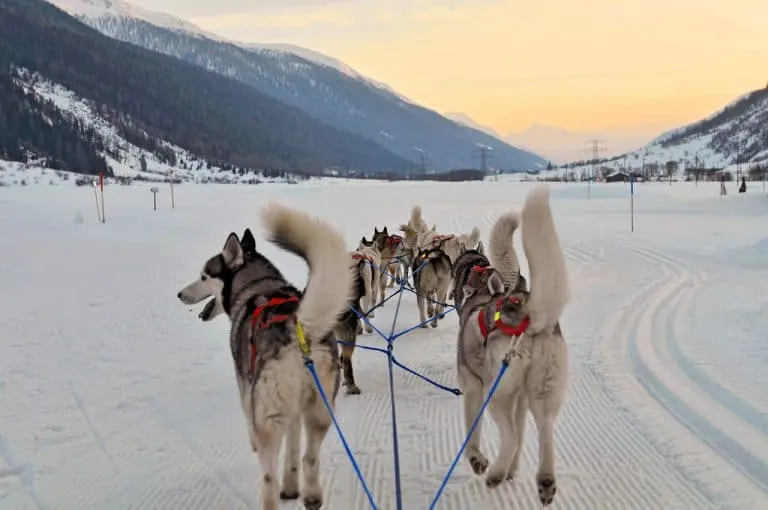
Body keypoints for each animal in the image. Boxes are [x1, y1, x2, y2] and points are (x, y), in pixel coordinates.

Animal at [177, 203, 354, 510]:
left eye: (204, 277)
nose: (179, 294)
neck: (258, 284)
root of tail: (298, 329)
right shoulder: (294, 412)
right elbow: (293, 452)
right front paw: (291, 487)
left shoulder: (246, 391)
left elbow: (250, 422)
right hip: (319, 411)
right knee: (310, 457)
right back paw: (311, 495)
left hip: (269, 420)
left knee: (269, 477)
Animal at [456, 185, 568, 504]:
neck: (484, 296)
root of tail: (527, 317)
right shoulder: (520, 399)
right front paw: (512, 471)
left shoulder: (474, 390)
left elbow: (472, 435)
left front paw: (478, 460)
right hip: (541, 392)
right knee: (543, 431)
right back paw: (543, 479)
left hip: (497, 393)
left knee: (512, 437)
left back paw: (494, 473)